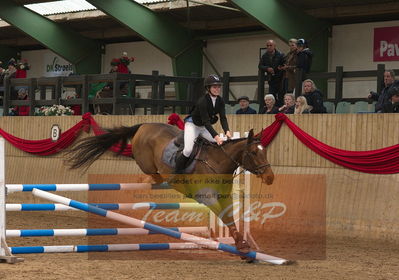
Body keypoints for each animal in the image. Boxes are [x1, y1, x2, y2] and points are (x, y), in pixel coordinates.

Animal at [68, 122, 276, 254]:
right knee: (151, 172)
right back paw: (150, 179)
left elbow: (229, 217)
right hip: (146, 161)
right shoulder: (207, 197)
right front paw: (241, 246)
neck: (218, 162)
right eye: (253, 152)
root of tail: (144, 125)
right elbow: (225, 217)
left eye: (265, 151)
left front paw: (241, 244)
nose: (270, 178)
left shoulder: (224, 197)